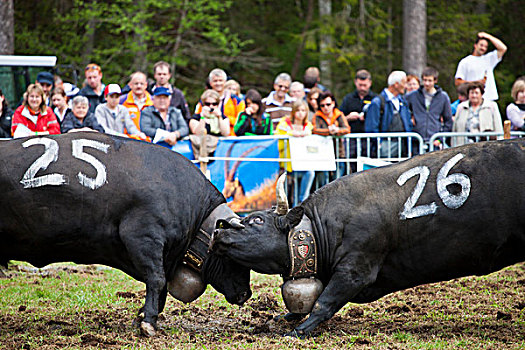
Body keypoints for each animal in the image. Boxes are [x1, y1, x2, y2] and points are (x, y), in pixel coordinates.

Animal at [0, 132, 251, 336]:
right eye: (232, 255)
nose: (246, 294)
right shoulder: (144, 238)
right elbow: (157, 279)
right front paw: (148, 322)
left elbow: (161, 286)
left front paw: (143, 316)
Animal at [212, 139, 524, 336]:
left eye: (256, 219)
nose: (219, 228)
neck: (322, 227)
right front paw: (284, 318)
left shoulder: (355, 270)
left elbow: (324, 301)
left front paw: (297, 331)